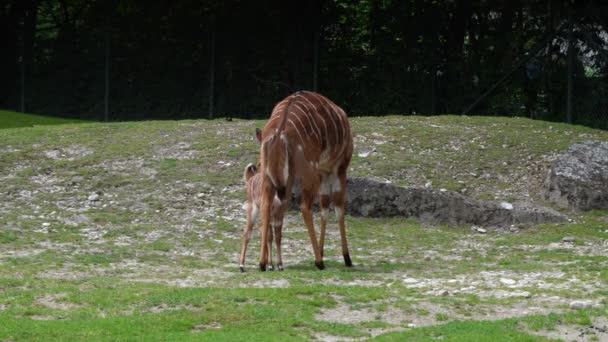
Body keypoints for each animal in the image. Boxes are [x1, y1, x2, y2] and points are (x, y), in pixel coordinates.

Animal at [255, 90, 352, 270]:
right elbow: (338, 208)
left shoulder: (323, 173)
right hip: (309, 175)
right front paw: (346, 257)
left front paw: (322, 250)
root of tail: (279, 132)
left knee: (266, 205)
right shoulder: (338, 170)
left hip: (274, 178)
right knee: (305, 207)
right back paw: (319, 262)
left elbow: (324, 207)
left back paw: (263, 263)